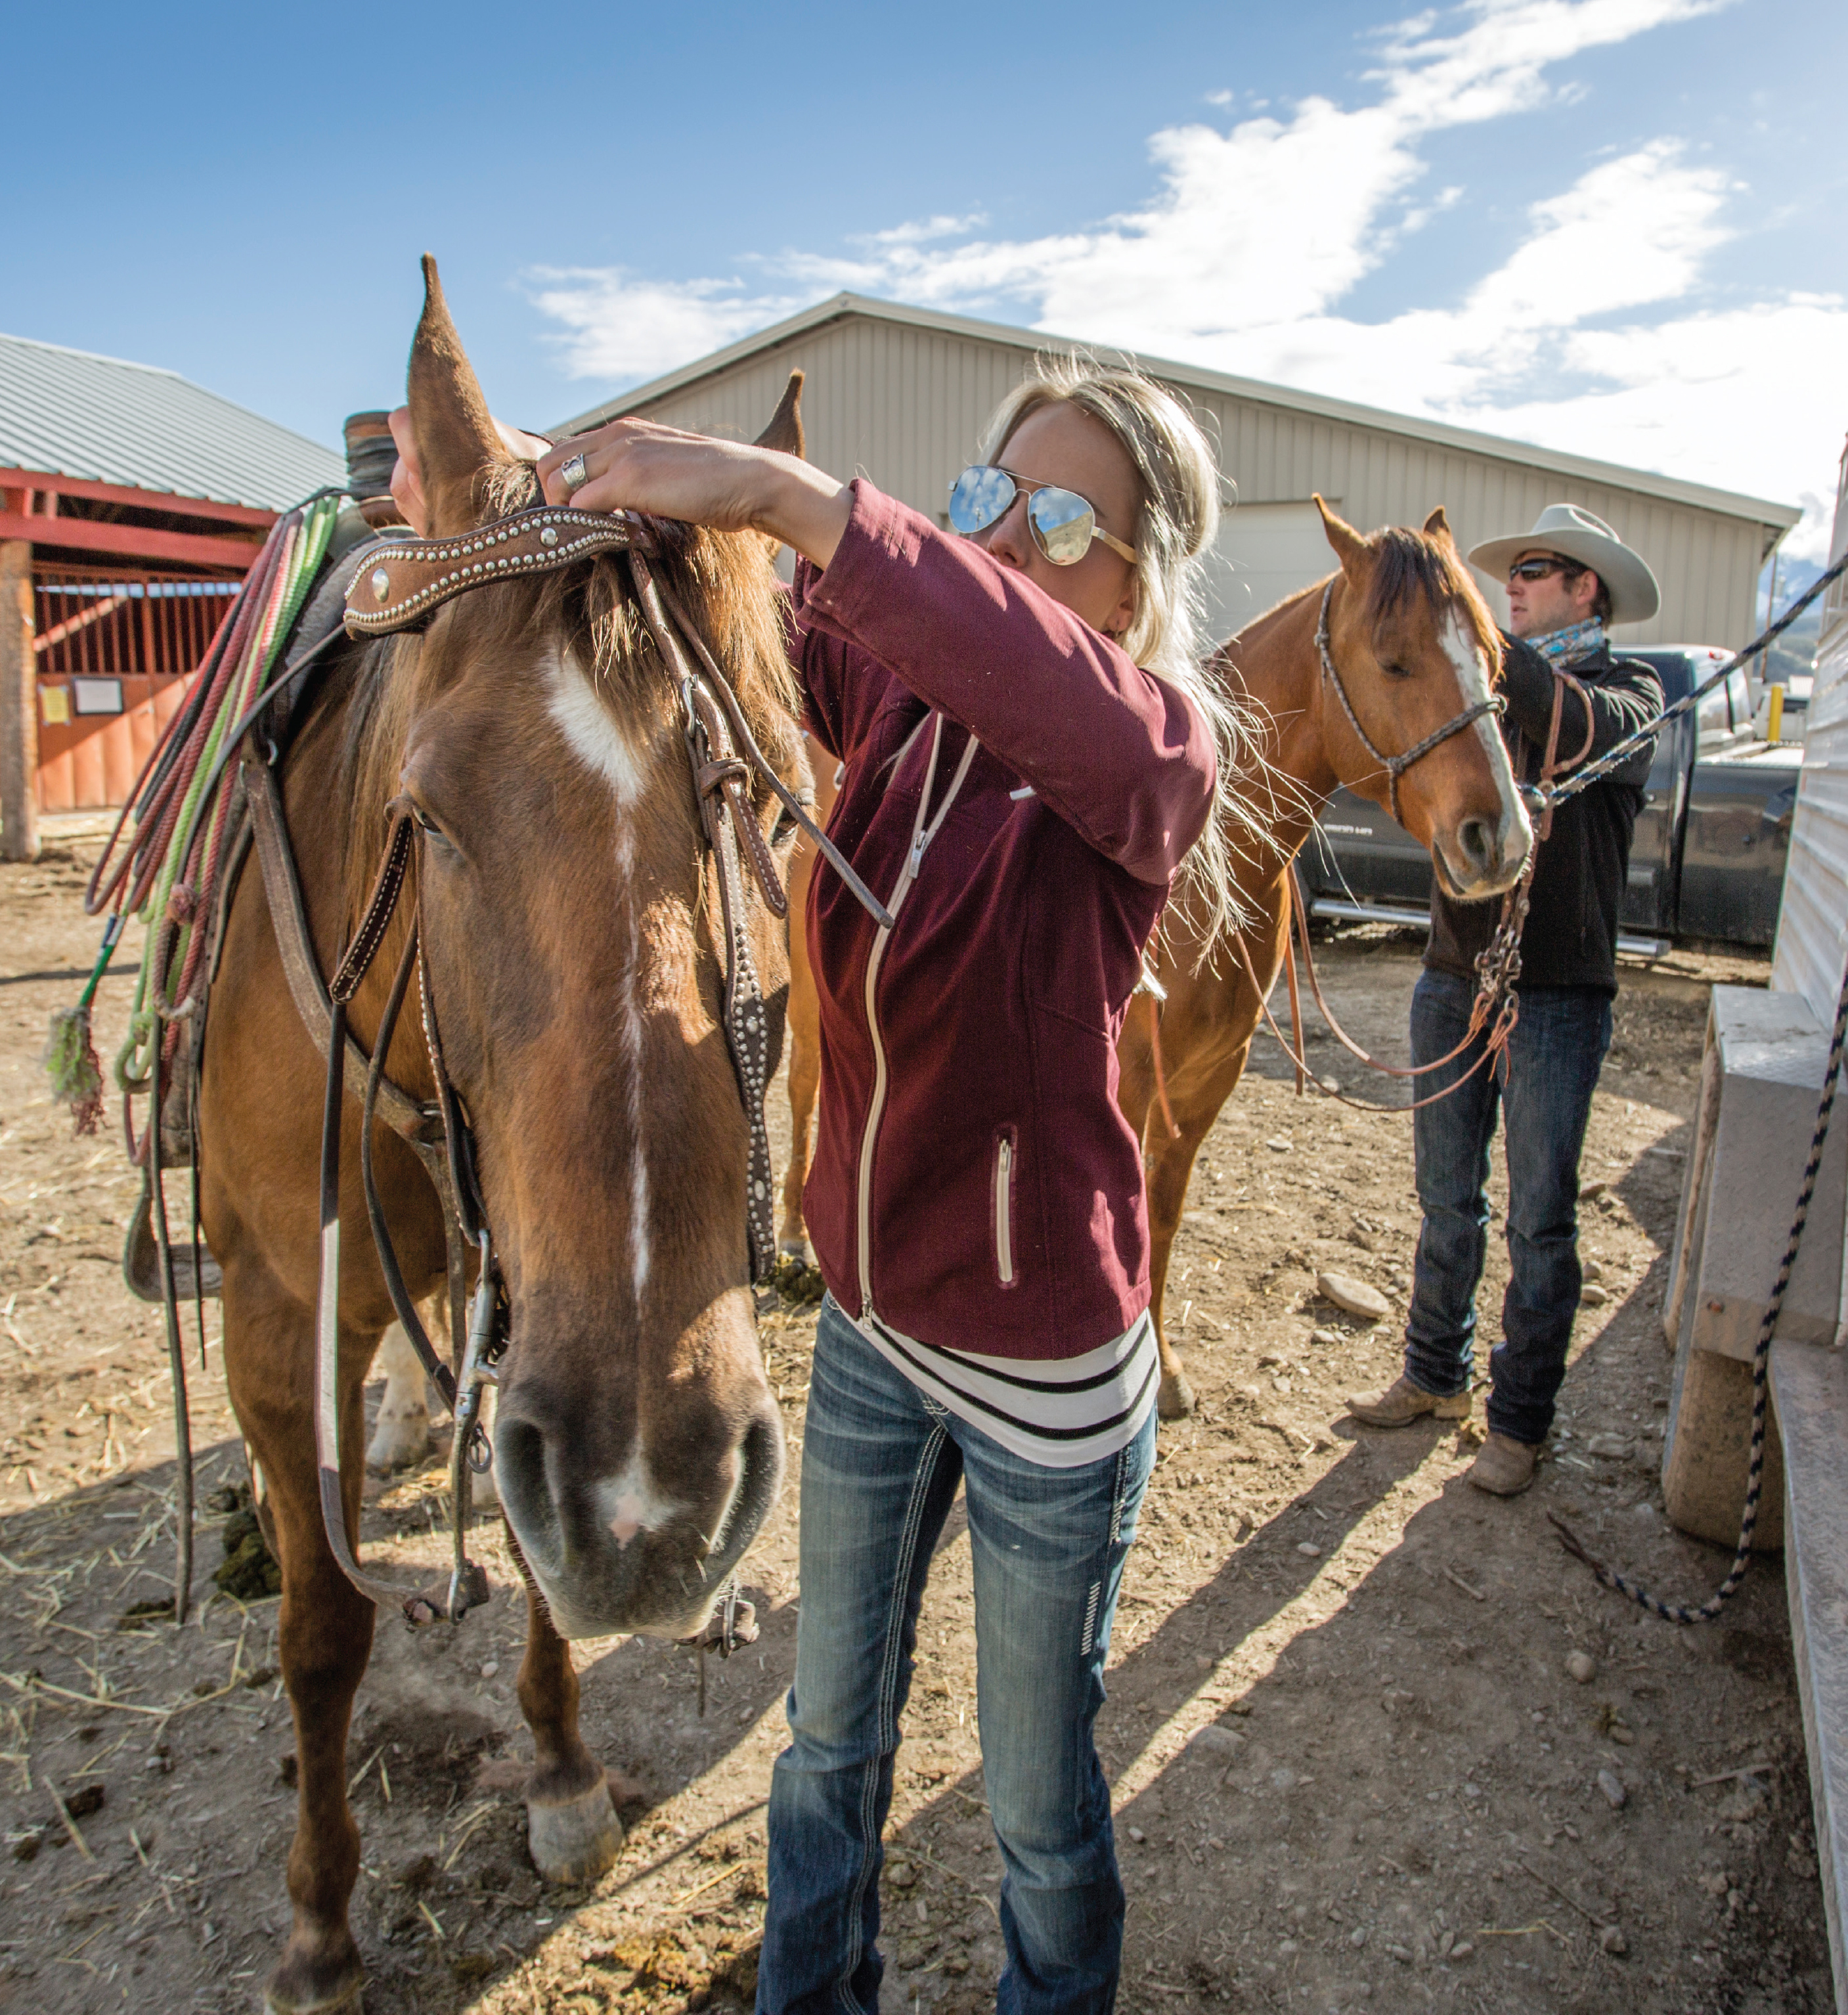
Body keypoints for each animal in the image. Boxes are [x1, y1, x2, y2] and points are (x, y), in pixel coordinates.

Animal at [196, 263, 814, 1999]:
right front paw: (319, 1925)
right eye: (430, 812)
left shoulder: (540, 1327)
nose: (655, 1490)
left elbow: (537, 1564)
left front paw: (558, 1771)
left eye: (775, 800)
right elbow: (324, 1626)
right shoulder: (277, 1317)